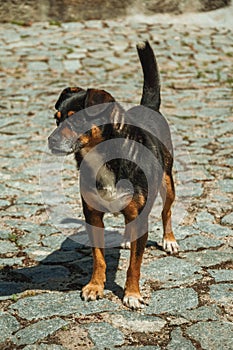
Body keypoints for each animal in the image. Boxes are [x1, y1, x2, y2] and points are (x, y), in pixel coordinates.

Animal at [47, 41, 178, 308]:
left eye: (76, 121)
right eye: (56, 120)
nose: (50, 140)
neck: (102, 157)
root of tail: (148, 107)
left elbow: (134, 265)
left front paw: (132, 294)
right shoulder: (92, 216)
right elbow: (98, 257)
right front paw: (95, 286)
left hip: (168, 183)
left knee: (166, 211)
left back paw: (169, 239)